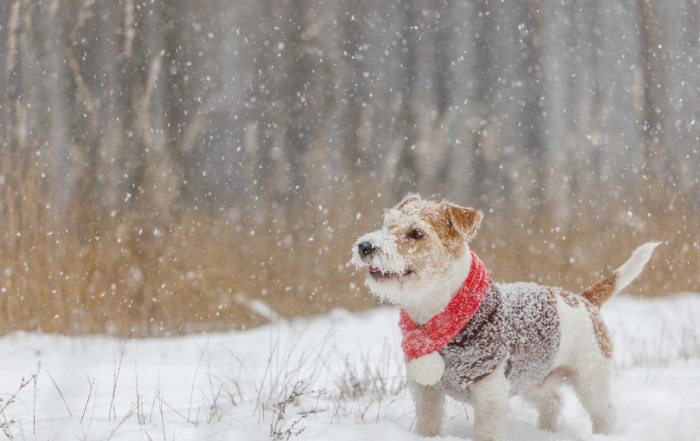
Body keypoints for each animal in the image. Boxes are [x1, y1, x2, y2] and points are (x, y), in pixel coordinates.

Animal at [352, 195, 660, 440]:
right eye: (387, 222)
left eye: (416, 233)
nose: (364, 246)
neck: (435, 316)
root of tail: (584, 299)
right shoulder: (425, 390)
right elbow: (428, 423)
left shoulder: (490, 393)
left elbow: (487, 431)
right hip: (534, 374)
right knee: (553, 401)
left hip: (590, 377)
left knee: (604, 412)